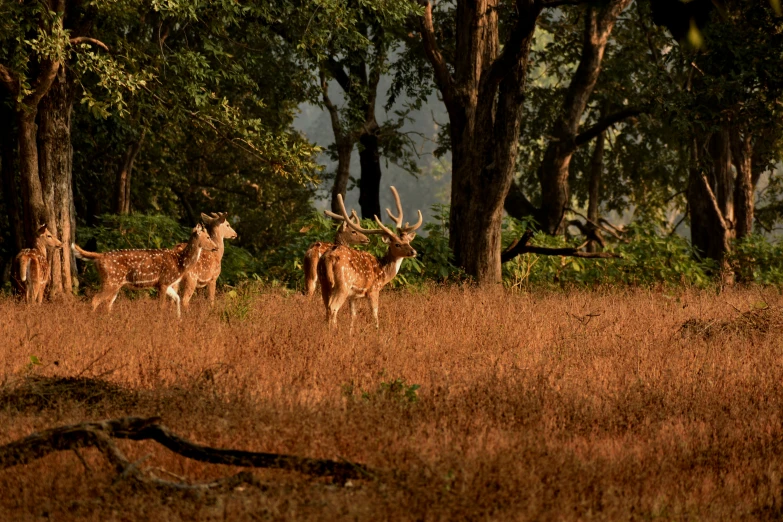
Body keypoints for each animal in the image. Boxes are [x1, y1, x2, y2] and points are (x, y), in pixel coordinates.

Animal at [72, 223, 217, 316]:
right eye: (208, 237)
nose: (216, 247)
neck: (180, 262)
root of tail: (100, 256)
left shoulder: (168, 283)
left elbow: (177, 299)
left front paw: (179, 320)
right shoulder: (164, 281)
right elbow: (161, 306)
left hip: (115, 284)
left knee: (108, 303)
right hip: (111, 280)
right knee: (95, 299)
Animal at [316, 185, 422, 328]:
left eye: (408, 242)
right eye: (397, 244)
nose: (413, 251)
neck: (383, 273)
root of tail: (329, 257)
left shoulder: (354, 296)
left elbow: (353, 316)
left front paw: (351, 331)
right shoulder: (373, 289)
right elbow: (375, 314)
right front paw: (376, 330)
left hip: (324, 283)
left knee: (327, 307)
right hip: (343, 284)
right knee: (333, 307)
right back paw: (334, 330)